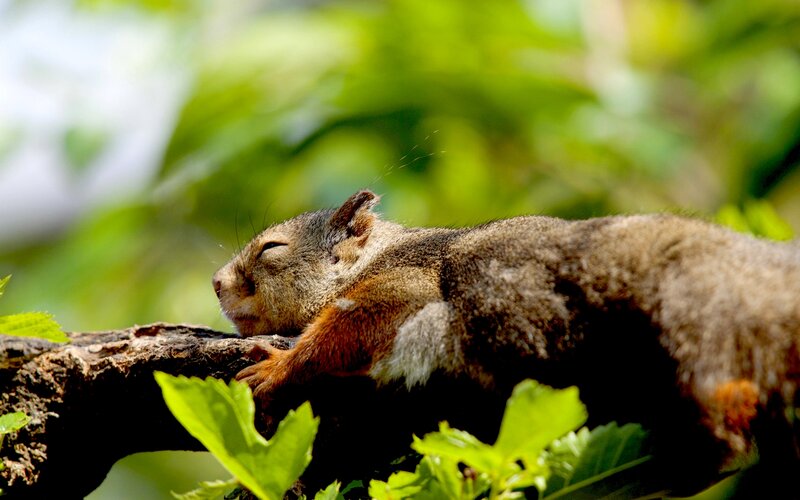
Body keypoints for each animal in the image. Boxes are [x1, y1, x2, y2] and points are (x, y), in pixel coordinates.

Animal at [213, 189, 800, 492]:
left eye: (271, 249)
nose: (216, 283)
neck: (379, 255)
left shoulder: (404, 286)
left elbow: (343, 330)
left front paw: (277, 368)